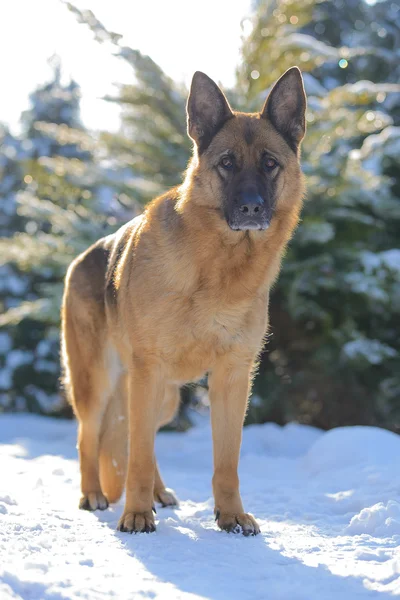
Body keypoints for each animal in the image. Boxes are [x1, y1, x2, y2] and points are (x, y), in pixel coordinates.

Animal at [61, 68, 306, 536]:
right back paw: (94, 496)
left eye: (270, 163)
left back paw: (158, 494)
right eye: (227, 163)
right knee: (90, 437)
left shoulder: (232, 376)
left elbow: (226, 461)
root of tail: (84, 256)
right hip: (99, 381)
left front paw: (231, 515)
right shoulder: (150, 369)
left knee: (139, 441)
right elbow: (136, 456)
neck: (218, 267)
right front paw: (136, 514)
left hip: (163, 397)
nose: (252, 208)